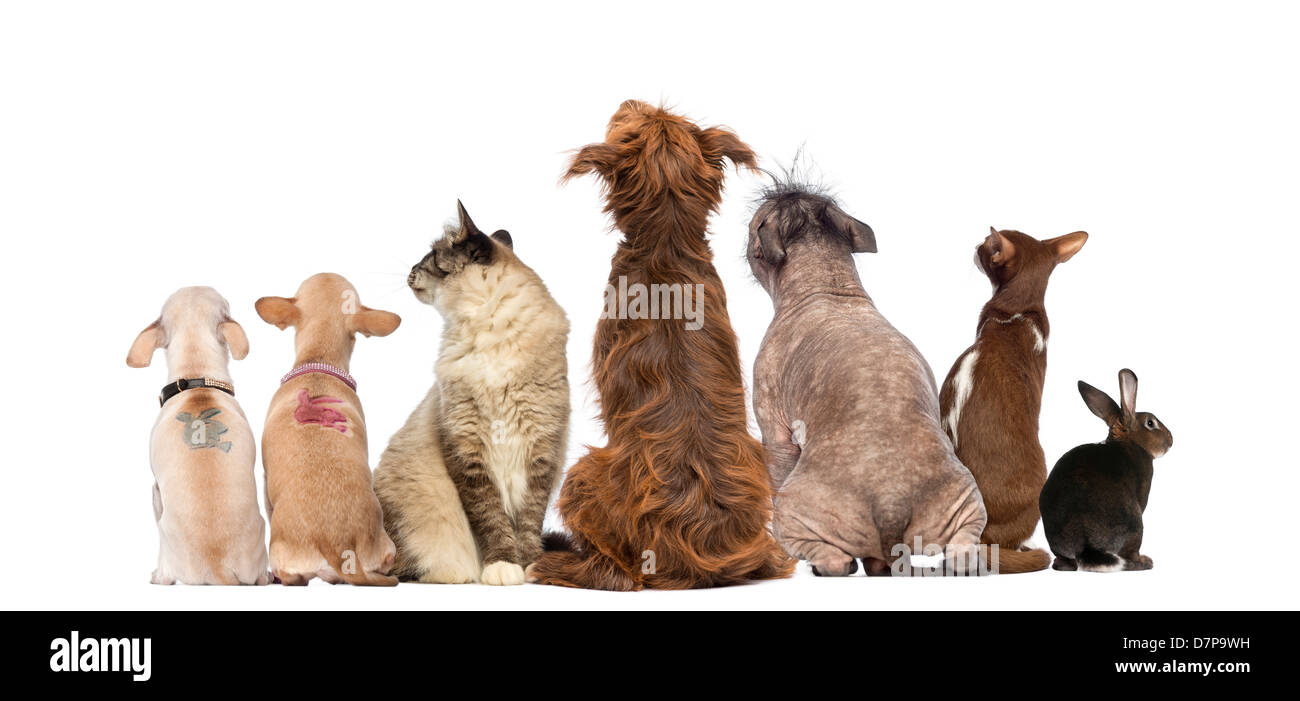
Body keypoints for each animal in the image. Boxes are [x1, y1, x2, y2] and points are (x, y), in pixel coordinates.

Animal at [1039, 369, 1173, 572]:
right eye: (1150, 423)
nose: (1171, 440)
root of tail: (1085, 546)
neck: (1129, 441)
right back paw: (1145, 562)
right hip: (1136, 525)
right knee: (1130, 553)